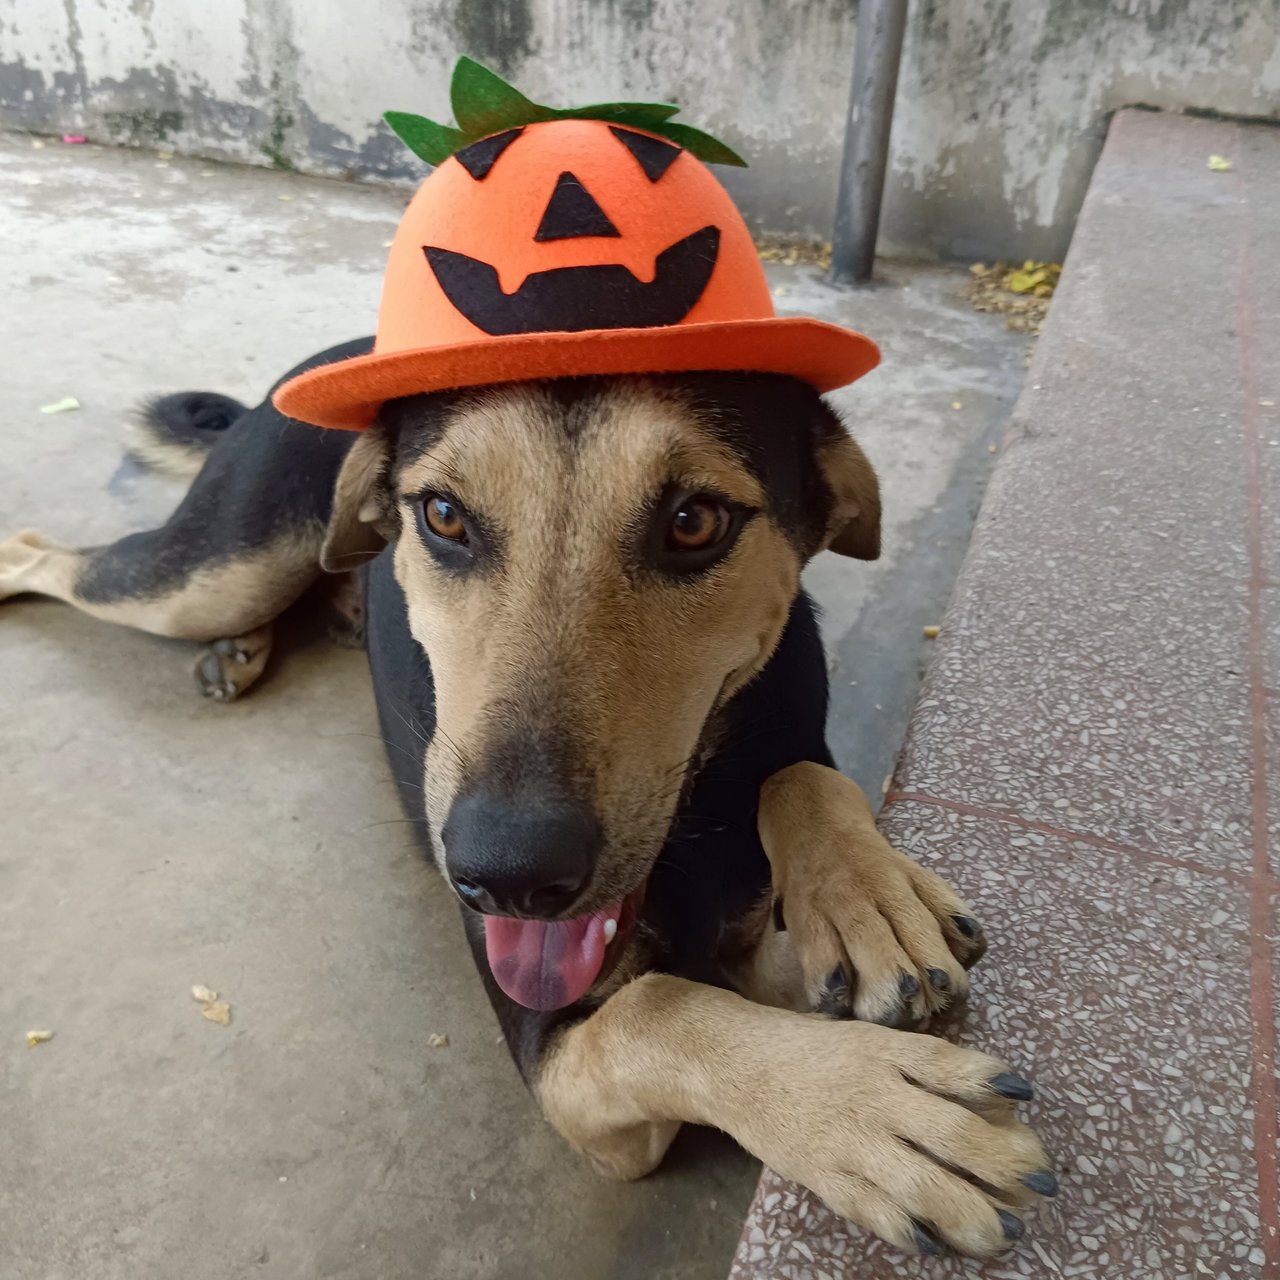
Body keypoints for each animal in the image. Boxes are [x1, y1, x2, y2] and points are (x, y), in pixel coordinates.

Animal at [0, 343, 1059, 1259]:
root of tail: (325, 353)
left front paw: (873, 899)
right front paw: (869, 1113)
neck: (692, 825)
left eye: (695, 523)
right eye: (442, 516)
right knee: (45, 551)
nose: (507, 875)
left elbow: (802, 776)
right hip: (209, 572)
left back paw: (251, 647)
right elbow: (659, 1008)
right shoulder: (566, 1066)